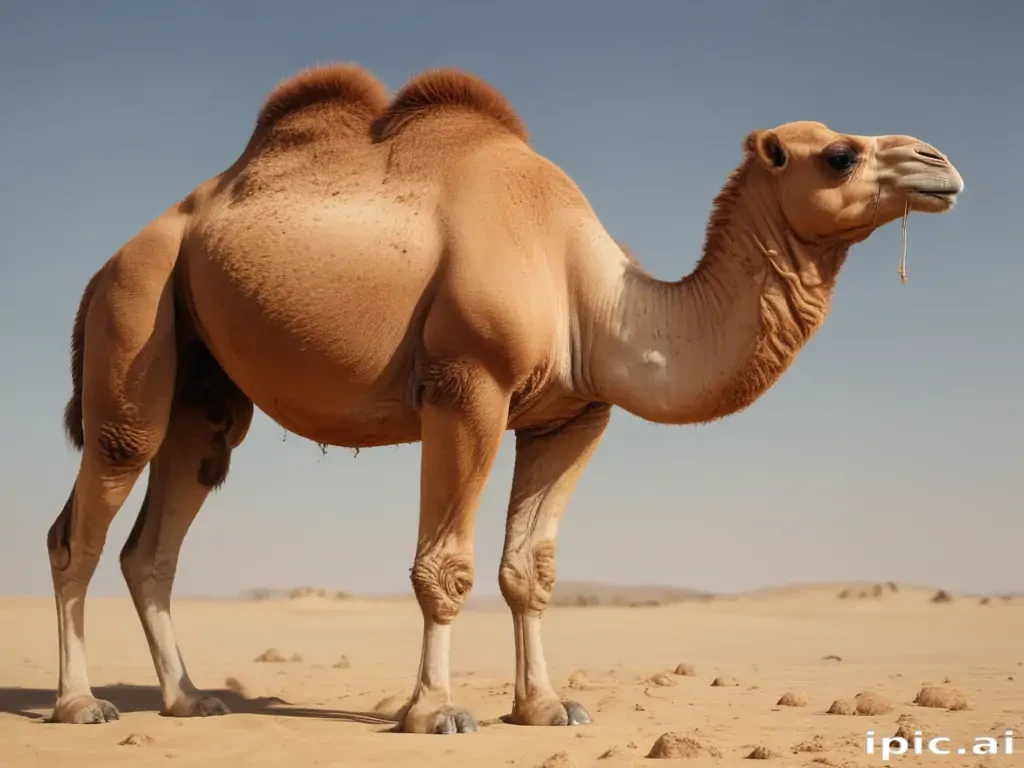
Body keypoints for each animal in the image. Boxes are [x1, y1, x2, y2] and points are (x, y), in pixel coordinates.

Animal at [47, 63, 963, 733]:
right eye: (839, 154)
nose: (942, 165)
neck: (590, 290)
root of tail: (110, 260)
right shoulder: (467, 384)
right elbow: (444, 565)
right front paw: (434, 713)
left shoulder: (571, 415)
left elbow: (530, 572)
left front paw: (545, 707)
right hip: (136, 306)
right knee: (84, 519)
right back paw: (79, 703)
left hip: (203, 382)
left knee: (161, 530)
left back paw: (188, 699)